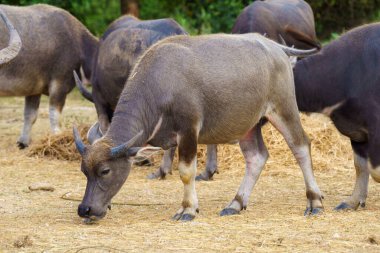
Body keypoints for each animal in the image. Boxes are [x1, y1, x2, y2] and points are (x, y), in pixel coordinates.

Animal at [0, 4, 98, 148]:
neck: (79, 44)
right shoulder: (60, 83)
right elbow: (54, 114)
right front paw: (58, 137)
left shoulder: (34, 89)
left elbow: (30, 115)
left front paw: (23, 142)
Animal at [72, 33, 322, 221]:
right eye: (84, 171)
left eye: (105, 171)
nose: (85, 209)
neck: (160, 84)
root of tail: (276, 47)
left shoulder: (189, 130)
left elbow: (185, 172)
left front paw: (188, 208)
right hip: (248, 124)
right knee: (256, 157)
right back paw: (236, 203)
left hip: (284, 108)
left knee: (300, 146)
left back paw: (314, 201)